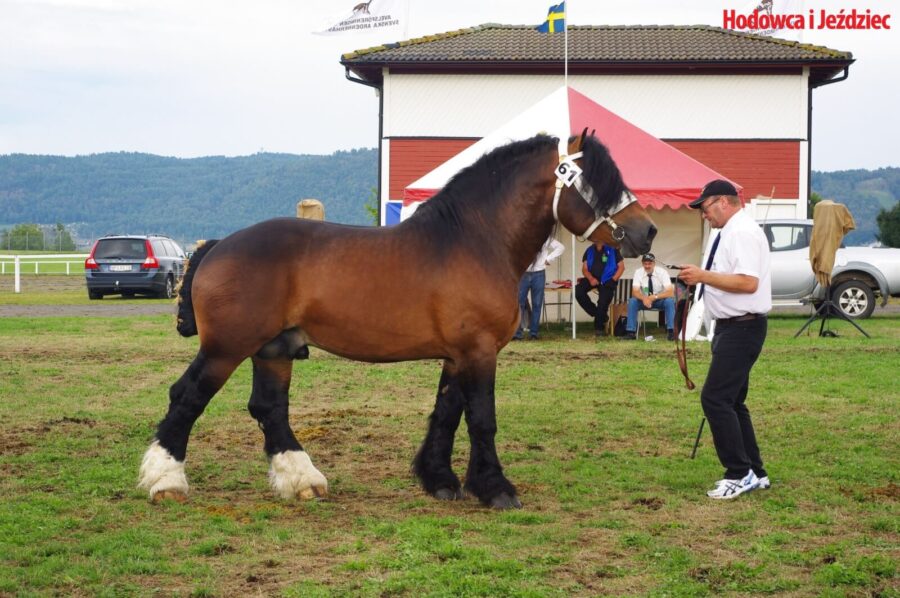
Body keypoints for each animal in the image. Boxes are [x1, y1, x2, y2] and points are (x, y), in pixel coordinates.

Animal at [142, 132, 652, 510]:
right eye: (597, 182)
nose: (647, 231)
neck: (473, 241)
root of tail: (218, 247)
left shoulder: (458, 354)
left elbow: (447, 414)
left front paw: (440, 480)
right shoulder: (479, 350)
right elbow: (482, 418)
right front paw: (496, 489)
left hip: (275, 348)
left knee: (269, 409)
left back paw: (302, 480)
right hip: (226, 349)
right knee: (187, 396)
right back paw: (165, 480)